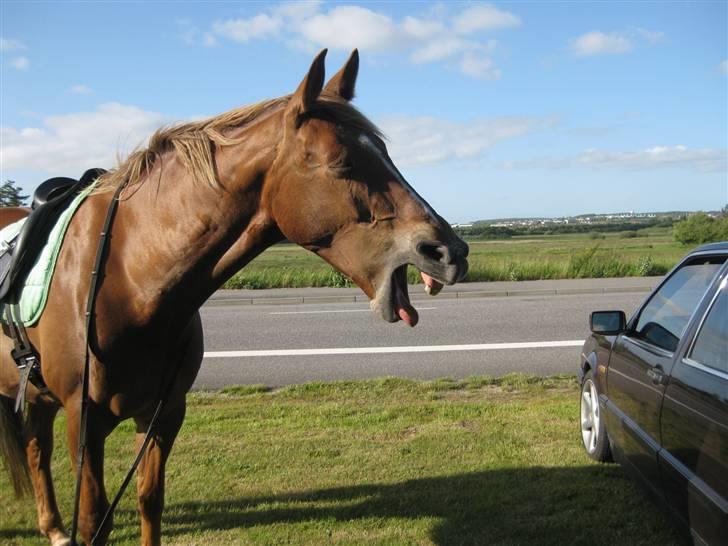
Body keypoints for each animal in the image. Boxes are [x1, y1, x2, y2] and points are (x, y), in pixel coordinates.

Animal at [0, 49, 466, 540]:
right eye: (342, 163)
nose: (450, 251)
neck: (129, 277)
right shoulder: (85, 423)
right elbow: (94, 521)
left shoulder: (164, 414)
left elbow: (149, 501)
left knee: (35, 445)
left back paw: (53, 527)